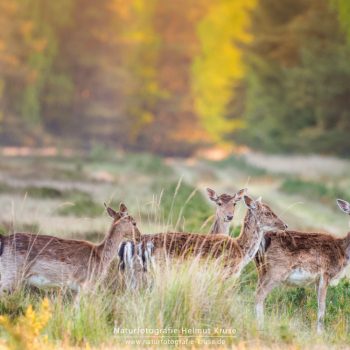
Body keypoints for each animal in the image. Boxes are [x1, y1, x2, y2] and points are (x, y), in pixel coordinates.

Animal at [0, 202, 137, 296]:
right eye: (134, 222)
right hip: (10, 275)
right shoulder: (85, 285)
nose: (139, 236)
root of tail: (4, 240)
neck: (101, 255)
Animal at [253, 198, 350, 332]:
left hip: (261, 269)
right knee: (259, 295)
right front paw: (320, 333)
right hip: (276, 271)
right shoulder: (326, 274)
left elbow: (318, 304)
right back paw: (261, 326)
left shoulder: (317, 280)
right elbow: (322, 307)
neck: (342, 252)